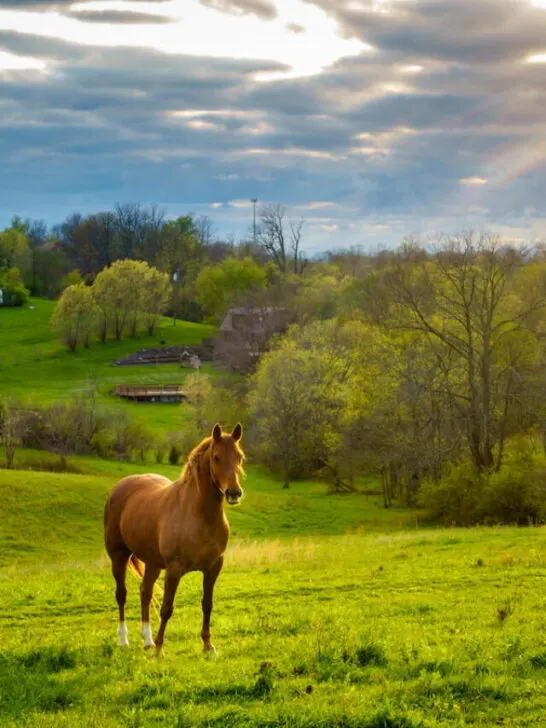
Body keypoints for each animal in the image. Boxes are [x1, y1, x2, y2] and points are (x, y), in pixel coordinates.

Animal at [103, 423, 244, 656]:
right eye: (216, 457)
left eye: (239, 457)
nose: (234, 493)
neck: (199, 514)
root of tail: (120, 487)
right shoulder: (174, 569)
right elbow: (166, 608)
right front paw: (160, 650)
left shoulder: (214, 567)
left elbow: (207, 604)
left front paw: (208, 646)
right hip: (118, 556)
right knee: (121, 594)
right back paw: (124, 640)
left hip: (152, 563)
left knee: (145, 592)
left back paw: (147, 641)